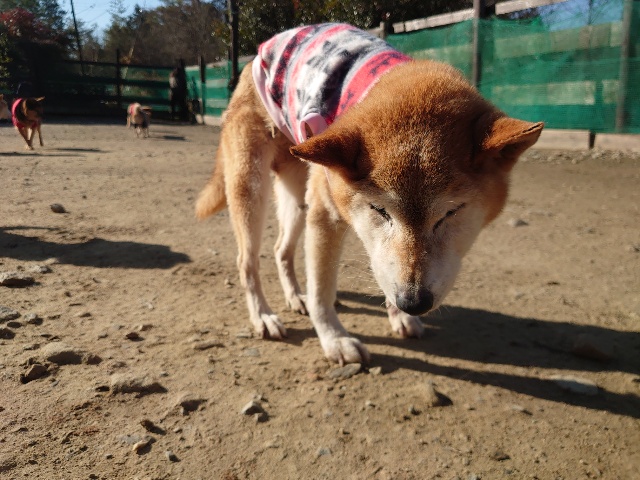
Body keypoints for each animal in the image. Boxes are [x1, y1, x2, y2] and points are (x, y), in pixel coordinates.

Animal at [195, 24, 543, 365]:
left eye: (451, 212)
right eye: (379, 209)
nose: (413, 302)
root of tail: (255, 56)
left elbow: (384, 269)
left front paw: (399, 316)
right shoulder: (325, 216)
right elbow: (323, 290)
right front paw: (335, 340)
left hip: (298, 199)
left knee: (281, 249)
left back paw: (296, 297)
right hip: (253, 189)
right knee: (247, 261)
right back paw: (263, 316)